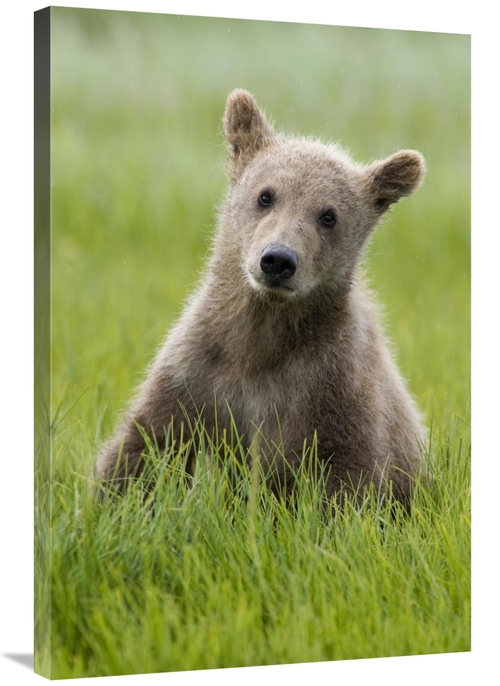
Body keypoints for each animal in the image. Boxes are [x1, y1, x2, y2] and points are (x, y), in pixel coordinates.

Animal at [97, 88, 427, 506]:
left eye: (329, 215)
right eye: (266, 196)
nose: (278, 260)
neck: (262, 336)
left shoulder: (335, 390)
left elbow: (350, 477)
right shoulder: (196, 374)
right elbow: (147, 445)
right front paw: (110, 499)